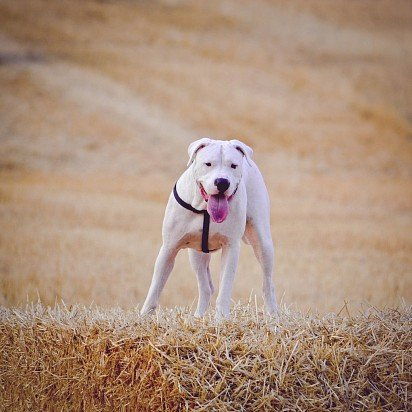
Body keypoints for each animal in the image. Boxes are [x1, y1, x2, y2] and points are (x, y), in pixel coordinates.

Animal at [141, 138, 276, 318]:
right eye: (208, 164)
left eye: (233, 165)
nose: (222, 182)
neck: (204, 208)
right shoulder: (168, 248)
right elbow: (155, 287)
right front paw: (143, 316)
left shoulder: (230, 247)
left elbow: (225, 287)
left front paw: (222, 319)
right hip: (197, 255)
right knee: (206, 287)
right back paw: (198, 317)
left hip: (263, 244)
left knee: (268, 283)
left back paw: (274, 315)